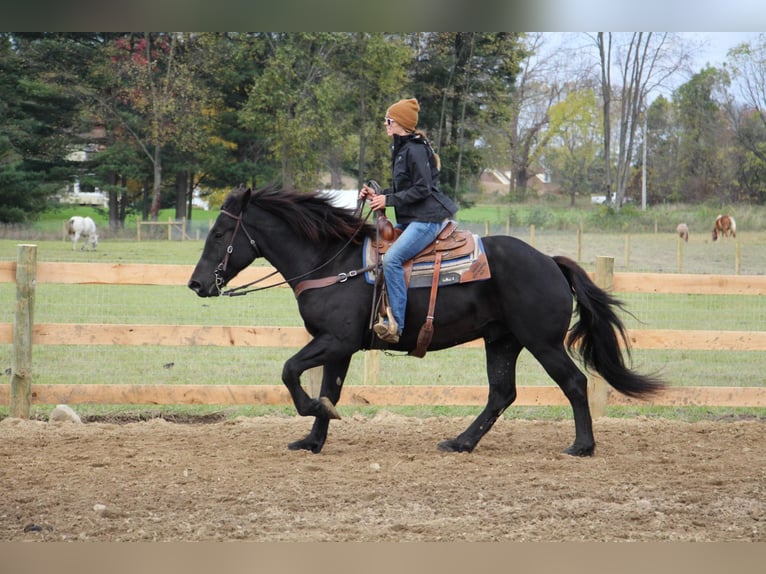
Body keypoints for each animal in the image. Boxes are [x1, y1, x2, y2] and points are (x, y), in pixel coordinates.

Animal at [188, 187, 664, 456]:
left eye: (218, 233)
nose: (196, 283)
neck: (332, 263)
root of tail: (549, 261)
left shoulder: (336, 340)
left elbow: (291, 372)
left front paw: (313, 415)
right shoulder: (337, 346)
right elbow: (330, 391)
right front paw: (313, 440)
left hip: (542, 342)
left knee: (574, 384)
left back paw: (582, 447)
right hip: (502, 341)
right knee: (501, 394)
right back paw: (461, 442)